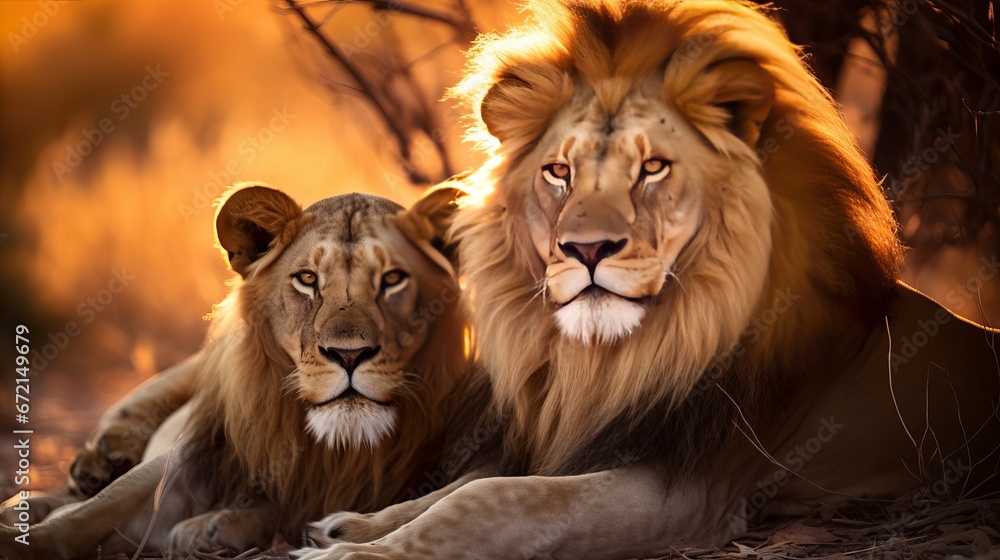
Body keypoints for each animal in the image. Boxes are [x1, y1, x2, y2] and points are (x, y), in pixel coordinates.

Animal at [0, 183, 466, 559]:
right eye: (307, 279)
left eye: (393, 279)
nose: (349, 354)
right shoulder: (194, 453)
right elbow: (90, 514)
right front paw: (22, 540)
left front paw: (218, 525)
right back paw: (87, 471)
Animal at [292, 1, 1000, 558]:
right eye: (558, 172)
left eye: (653, 168)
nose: (585, 248)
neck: (618, 356)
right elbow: (454, 490)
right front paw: (351, 528)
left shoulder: (688, 491)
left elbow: (495, 498)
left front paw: (356, 554)